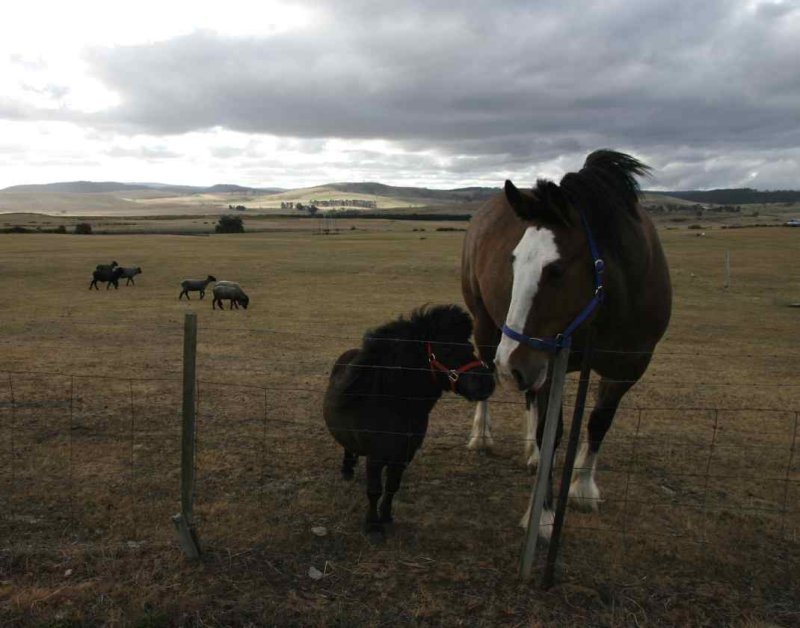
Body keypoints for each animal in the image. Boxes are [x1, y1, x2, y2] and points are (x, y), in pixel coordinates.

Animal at [324, 306, 494, 544]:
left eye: (470, 347)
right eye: (447, 348)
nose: (487, 383)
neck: (395, 407)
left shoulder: (404, 454)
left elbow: (392, 487)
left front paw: (386, 517)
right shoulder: (376, 457)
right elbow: (374, 490)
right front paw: (373, 527)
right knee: (347, 446)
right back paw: (347, 470)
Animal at [460, 148, 672, 540]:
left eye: (555, 270)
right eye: (513, 263)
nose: (509, 365)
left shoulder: (627, 367)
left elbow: (598, 423)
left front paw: (583, 488)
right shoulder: (546, 357)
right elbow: (552, 432)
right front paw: (541, 514)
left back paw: (530, 453)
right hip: (488, 328)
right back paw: (481, 436)